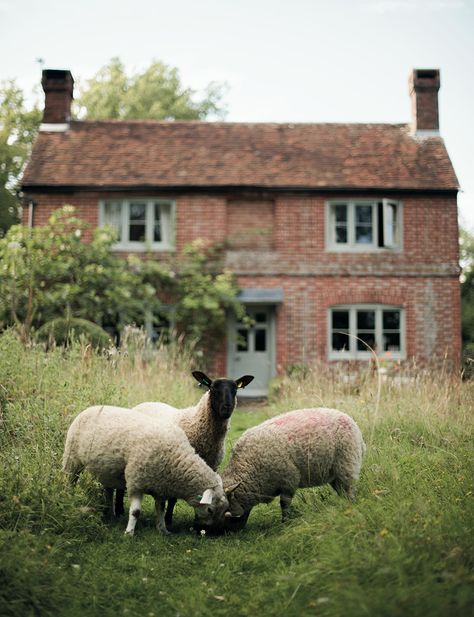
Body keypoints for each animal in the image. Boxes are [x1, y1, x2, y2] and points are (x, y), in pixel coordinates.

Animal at [62, 404, 229, 536]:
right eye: (210, 510)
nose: (210, 532)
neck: (176, 458)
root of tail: (91, 408)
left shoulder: (161, 487)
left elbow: (161, 509)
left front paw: (163, 529)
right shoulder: (136, 482)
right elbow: (136, 512)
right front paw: (129, 532)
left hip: (107, 470)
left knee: (108, 491)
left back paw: (110, 514)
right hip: (71, 458)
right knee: (70, 481)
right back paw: (68, 499)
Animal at [114, 370, 256, 524]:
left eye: (235, 389)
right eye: (213, 389)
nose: (226, 408)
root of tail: (142, 404)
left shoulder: (211, 466)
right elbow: (173, 499)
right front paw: (168, 520)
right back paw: (118, 511)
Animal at [208, 406, 366, 532]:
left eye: (223, 510)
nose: (216, 534)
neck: (248, 467)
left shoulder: (288, 480)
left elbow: (284, 504)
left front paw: (285, 523)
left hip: (346, 464)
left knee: (349, 490)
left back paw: (349, 507)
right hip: (335, 473)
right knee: (342, 491)